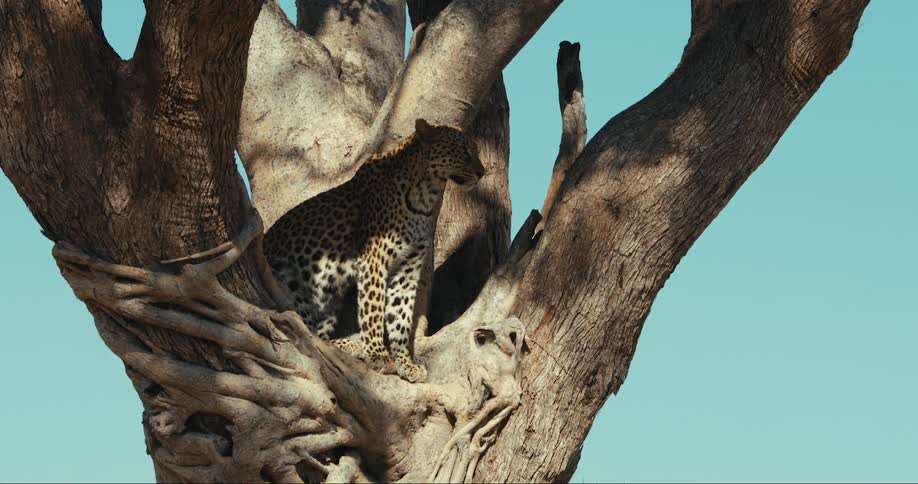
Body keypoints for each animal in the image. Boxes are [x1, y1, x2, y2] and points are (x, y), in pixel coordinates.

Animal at [264, 119, 486, 383]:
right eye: (463, 150)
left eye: (475, 150)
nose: (483, 172)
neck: (426, 193)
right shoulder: (374, 261)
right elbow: (374, 310)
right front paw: (378, 355)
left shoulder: (407, 269)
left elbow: (401, 317)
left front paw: (405, 363)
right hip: (289, 277)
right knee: (303, 326)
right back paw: (352, 346)